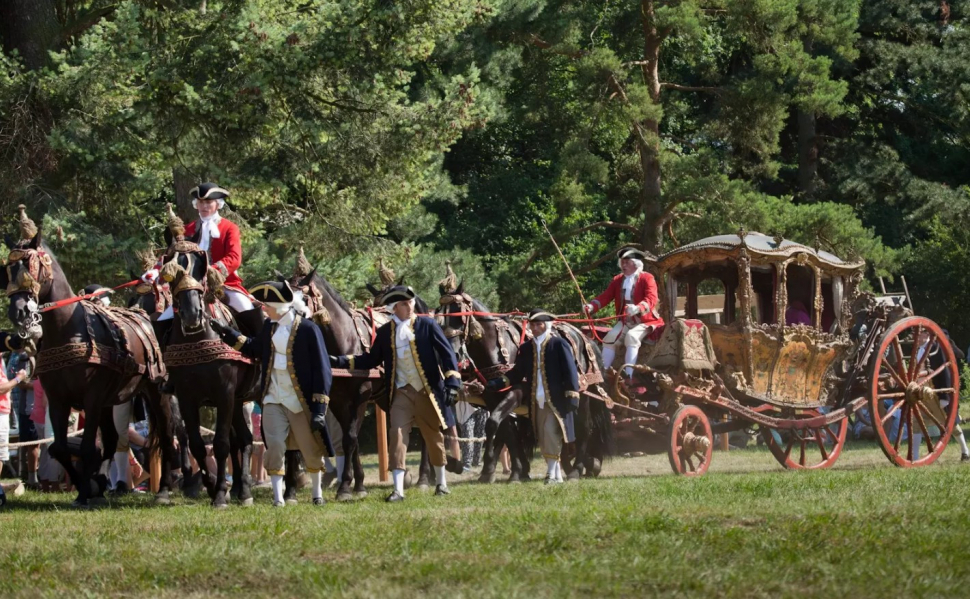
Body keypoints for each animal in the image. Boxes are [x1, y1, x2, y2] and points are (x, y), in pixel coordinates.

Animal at [1, 209, 178, 508]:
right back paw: (103, 482)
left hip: (155, 392)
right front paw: (90, 485)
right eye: (8, 270)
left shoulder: (92, 398)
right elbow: (60, 448)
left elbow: (85, 447)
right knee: (112, 442)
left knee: (166, 436)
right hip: (112, 402)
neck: (68, 331)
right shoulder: (58, 400)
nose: (19, 311)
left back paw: (164, 489)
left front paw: (85, 491)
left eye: (31, 267)